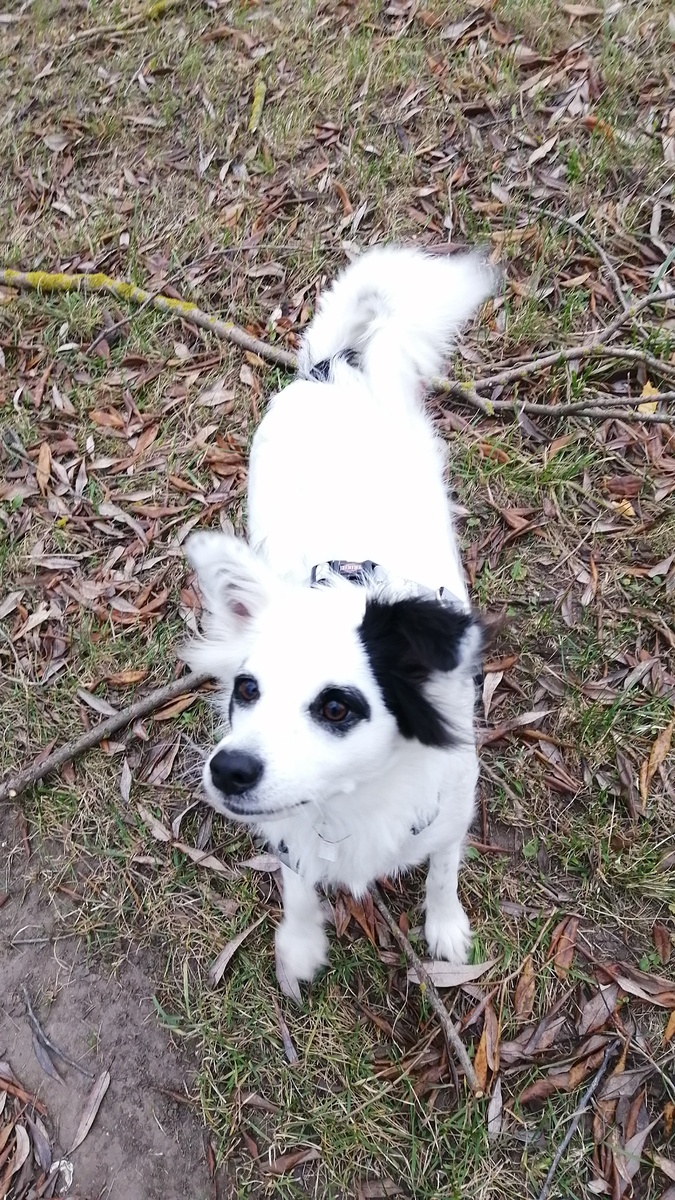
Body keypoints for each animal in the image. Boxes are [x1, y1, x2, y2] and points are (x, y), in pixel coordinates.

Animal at [183, 245, 495, 996]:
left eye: (335, 708)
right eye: (246, 690)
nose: (229, 769)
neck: (353, 799)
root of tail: (329, 368)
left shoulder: (452, 811)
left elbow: (443, 870)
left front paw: (445, 927)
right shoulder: (295, 836)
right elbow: (298, 887)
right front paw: (298, 945)